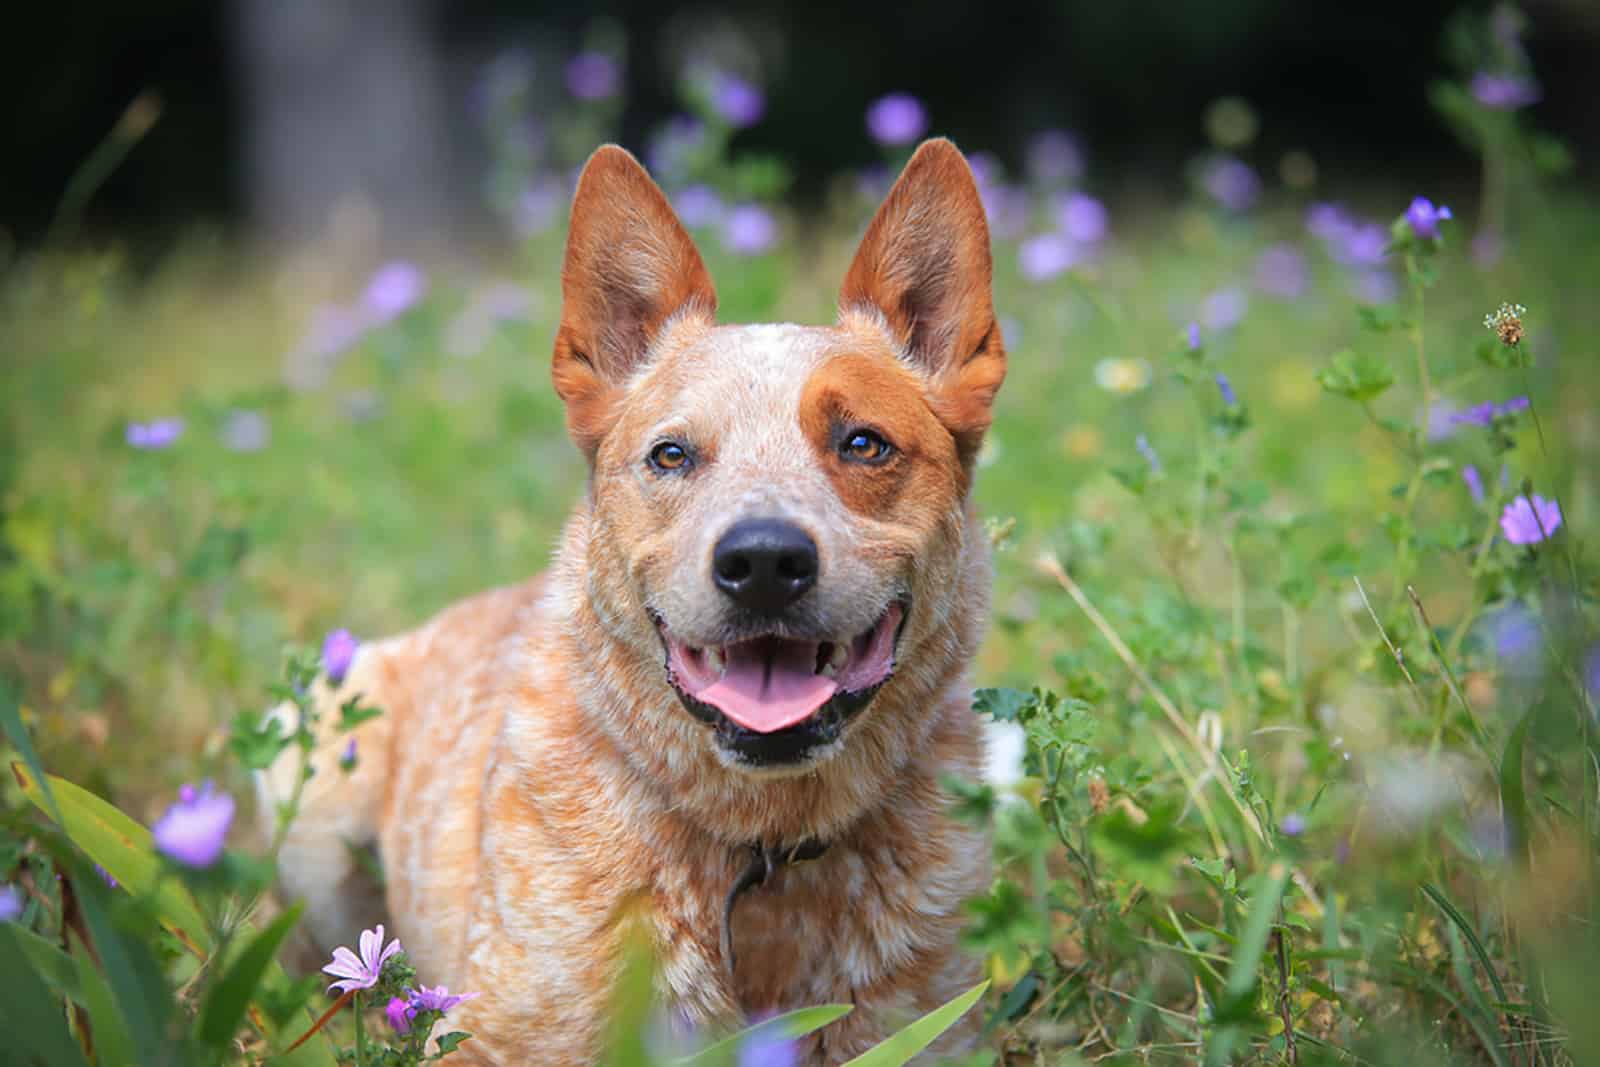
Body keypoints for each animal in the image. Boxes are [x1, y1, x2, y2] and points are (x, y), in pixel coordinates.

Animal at [264, 137, 1011, 1062]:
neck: (760, 852)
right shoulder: (504, 1034)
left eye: (864, 443)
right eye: (672, 454)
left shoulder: (931, 1025)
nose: (764, 560)